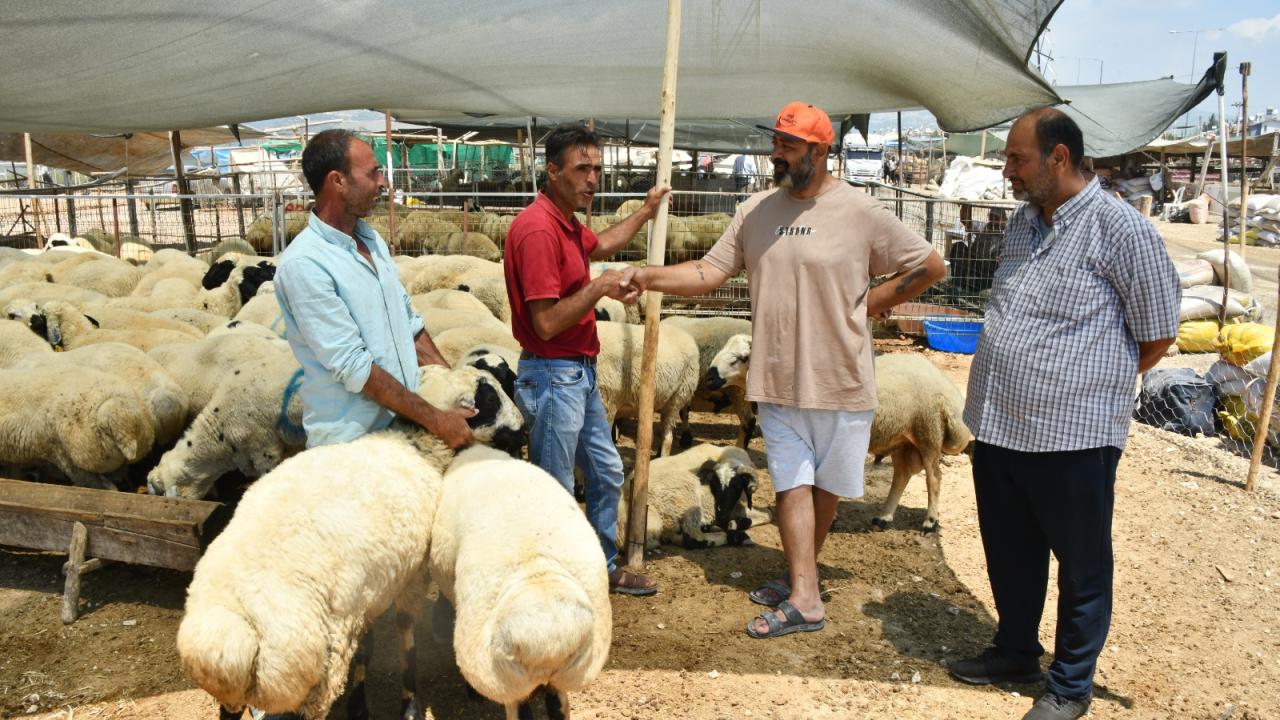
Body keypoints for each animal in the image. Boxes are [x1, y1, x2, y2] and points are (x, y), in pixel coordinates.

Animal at [614, 438, 762, 548]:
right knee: (692, 538)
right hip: (687, 499)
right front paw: (732, 525)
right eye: (714, 483)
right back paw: (736, 537)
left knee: (677, 537)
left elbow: (764, 516)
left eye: (737, 485)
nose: (721, 513)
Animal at [660, 315, 757, 445]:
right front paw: (686, 437)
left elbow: (682, 411)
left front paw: (685, 437)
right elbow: (684, 410)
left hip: (736, 389)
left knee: (749, 421)